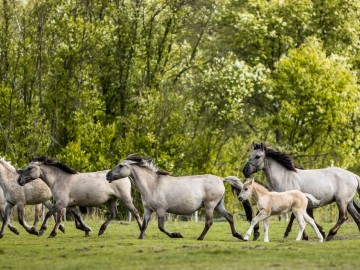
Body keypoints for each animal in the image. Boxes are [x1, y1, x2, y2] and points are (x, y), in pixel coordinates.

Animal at [106, 154, 253, 240]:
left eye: (121, 165)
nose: (108, 175)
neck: (152, 185)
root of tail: (221, 179)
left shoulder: (161, 210)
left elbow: (160, 226)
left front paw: (176, 235)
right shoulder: (148, 210)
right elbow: (144, 225)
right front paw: (140, 238)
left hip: (209, 205)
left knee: (209, 222)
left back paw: (200, 238)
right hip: (218, 206)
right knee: (229, 217)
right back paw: (238, 235)